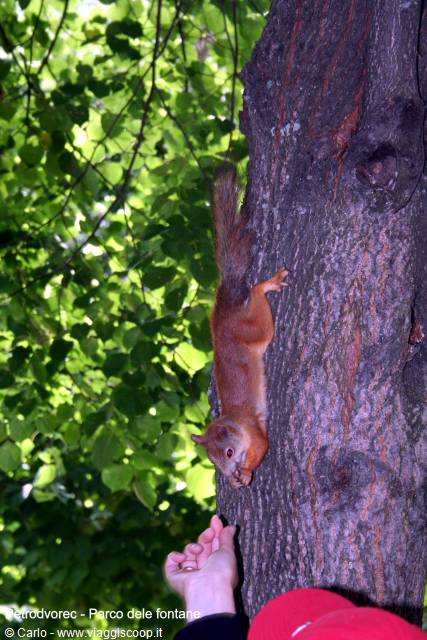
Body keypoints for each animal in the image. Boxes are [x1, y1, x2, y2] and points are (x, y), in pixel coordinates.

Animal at [191, 166, 288, 488]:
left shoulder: (255, 432)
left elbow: (261, 447)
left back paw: (267, 285)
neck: (234, 420)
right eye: (213, 460)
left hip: (254, 329)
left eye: (230, 452)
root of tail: (223, 315)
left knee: (257, 301)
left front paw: (245, 473)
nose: (230, 473)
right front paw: (236, 480)